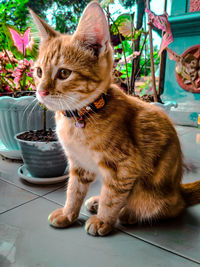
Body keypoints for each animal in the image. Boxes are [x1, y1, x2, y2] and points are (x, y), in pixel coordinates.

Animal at [29, 1, 200, 237]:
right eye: (38, 72)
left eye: (63, 73)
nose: (41, 92)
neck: (81, 116)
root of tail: (179, 190)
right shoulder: (79, 165)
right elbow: (74, 190)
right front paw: (68, 213)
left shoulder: (124, 168)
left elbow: (112, 197)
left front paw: (103, 220)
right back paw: (96, 200)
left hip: (157, 196)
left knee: (168, 207)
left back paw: (129, 213)